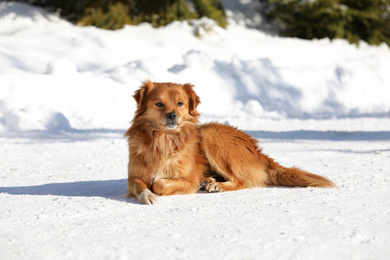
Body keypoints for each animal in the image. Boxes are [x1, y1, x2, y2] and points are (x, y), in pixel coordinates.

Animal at [125, 80, 336, 204]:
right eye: (159, 104)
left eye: (180, 103)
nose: (172, 115)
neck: (163, 139)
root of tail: (257, 151)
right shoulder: (133, 177)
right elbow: (141, 186)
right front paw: (147, 195)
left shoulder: (188, 178)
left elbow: (159, 184)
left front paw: (156, 189)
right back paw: (210, 181)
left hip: (211, 135)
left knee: (241, 181)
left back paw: (216, 185)